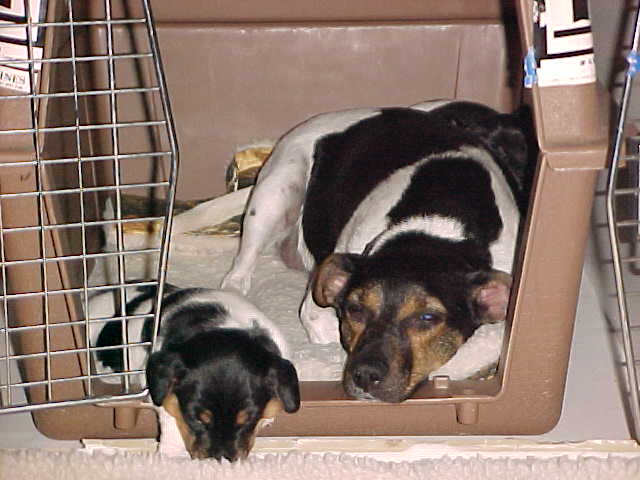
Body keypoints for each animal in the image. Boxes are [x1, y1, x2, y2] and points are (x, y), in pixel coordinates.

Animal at [222, 99, 532, 404]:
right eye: (355, 309)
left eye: (428, 318)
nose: (365, 375)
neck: (437, 223)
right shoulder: (318, 306)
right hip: (275, 196)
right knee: (238, 271)